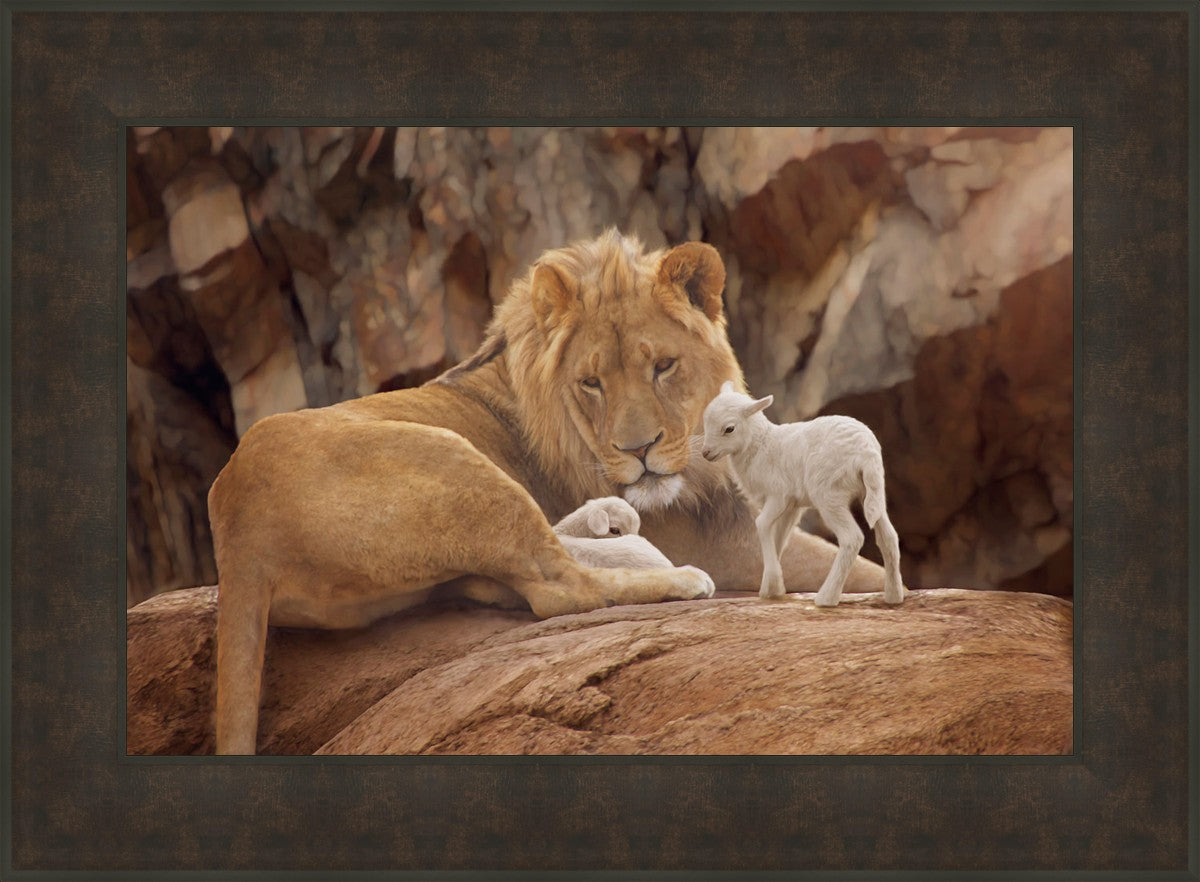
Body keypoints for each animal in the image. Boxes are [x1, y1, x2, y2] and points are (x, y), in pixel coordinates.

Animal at [700, 382, 904, 607]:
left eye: (729, 429)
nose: (705, 453)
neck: (761, 445)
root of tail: (866, 453)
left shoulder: (778, 495)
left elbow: (761, 524)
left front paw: (773, 584)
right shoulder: (792, 505)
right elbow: (779, 538)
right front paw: (771, 588)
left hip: (828, 494)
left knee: (852, 538)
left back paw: (826, 597)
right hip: (873, 492)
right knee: (889, 537)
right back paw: (893, 596)